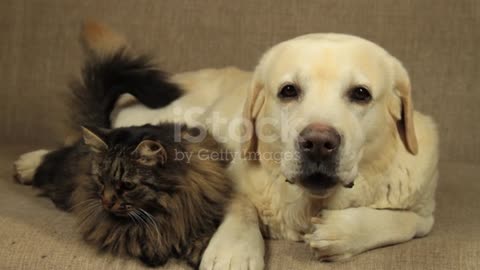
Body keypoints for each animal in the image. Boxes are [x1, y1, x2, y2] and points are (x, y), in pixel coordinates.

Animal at [80, 23, 440, 270]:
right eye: (288, 90)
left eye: (361, 94)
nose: (318, 143)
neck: (308, 203)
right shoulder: (225, 173)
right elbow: (240, 206)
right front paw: (233, 251)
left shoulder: (425, 213)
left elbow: (402, 222)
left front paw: (343, 232)